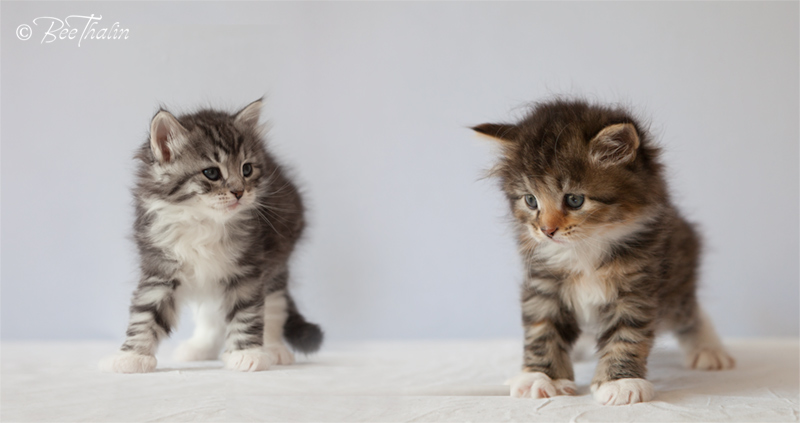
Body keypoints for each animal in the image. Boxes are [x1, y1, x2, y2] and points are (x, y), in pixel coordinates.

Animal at [100, 99, 322, 373]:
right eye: (212, 173)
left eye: (247, 169)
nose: (239, 192)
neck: (203, 222)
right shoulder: (160, 266)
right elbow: (146, 313)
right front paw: (132, 356)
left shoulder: (247, 269)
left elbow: (247, 311)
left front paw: (248, 353)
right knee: (212, 314)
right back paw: (200, 348)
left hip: (278, 260)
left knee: (273, 306)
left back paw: (273, 348)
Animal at [472, 99, 734, 405]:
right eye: (530, 200)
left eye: (574, 200)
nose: (547, 230)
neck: (585, 248)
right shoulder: (543, 283)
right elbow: (542, 330)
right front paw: (540, 377)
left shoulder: (637, 284)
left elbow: (627, 335)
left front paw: (621, 383)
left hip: (676, 287)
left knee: (691, 313)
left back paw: (708, 349)